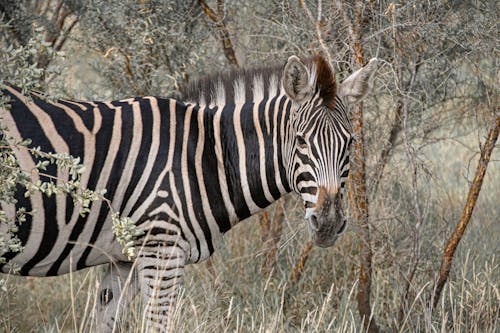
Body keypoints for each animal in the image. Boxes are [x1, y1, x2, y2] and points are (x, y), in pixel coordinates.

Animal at [0, 54, 376, 330]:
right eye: (300, 142)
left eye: (351, 143)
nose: (328, 223)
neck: (202, 156)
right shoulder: (161, 249)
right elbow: (158, 325)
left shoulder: (123, 259)